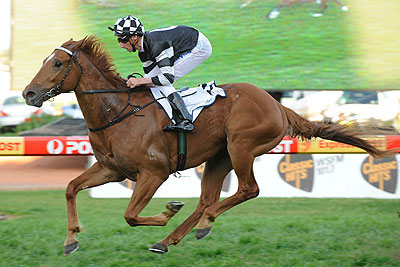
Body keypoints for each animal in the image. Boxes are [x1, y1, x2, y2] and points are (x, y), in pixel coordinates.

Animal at [23, 35, 392, 255]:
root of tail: (277, 104)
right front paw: (71, 239)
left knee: (245, 191)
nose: (28, 92)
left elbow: (130, 214)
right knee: (206, 199)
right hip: (219, 157)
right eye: (43, 61)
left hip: (242, 146)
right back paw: (171, 238)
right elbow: (71, 188)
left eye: (57, 63)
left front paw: (167, 210)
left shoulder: (154, 172)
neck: (118, 112)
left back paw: (198, 224)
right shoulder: (111, 169)